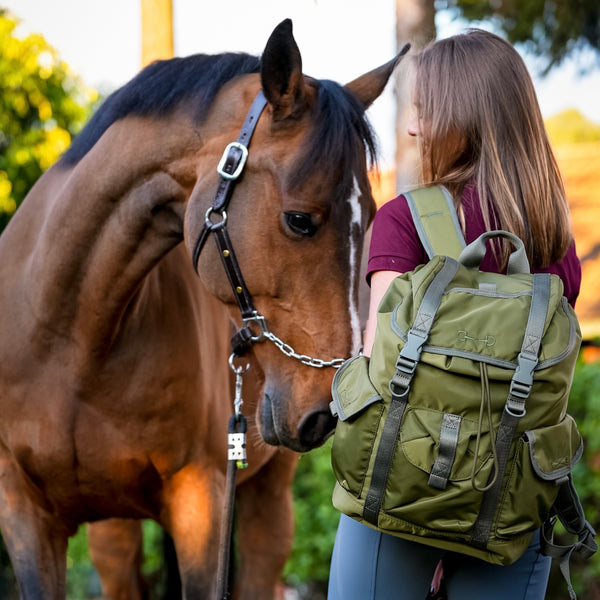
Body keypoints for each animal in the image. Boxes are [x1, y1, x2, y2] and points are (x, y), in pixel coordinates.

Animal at [0, 18, 408, 600]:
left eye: (371, 218)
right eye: (299, 220)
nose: (325, 412)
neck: (68, 338)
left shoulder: (202, 504)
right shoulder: (25, 516)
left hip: (267, 505)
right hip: (113, 534)